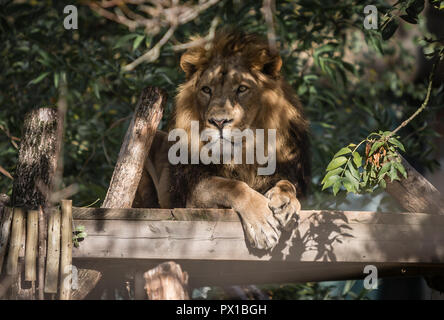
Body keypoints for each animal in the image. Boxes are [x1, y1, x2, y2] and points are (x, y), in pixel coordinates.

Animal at [134, 30, 310, 250]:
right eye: (206, 90)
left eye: (242, 89)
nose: (219, 121)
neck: (243, 152)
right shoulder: (195, 192)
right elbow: (233, 186)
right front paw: (263, 225)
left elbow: (287, 184)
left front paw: (286, 201)